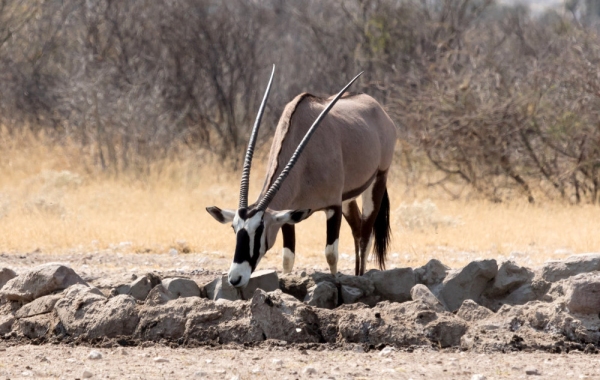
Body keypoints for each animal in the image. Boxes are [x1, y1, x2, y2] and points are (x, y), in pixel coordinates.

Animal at [207, 67, 398, 288]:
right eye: (234, 228)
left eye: (259, 229)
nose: (235, 278)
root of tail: (379, 110)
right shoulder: (289, 214)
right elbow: (287, 258)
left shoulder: (333, 206)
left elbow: (331, 254)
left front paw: (336, 284)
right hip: (349, 196)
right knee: (358, 229)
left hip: (378, 179)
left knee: (366, 234)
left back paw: (360, 277)